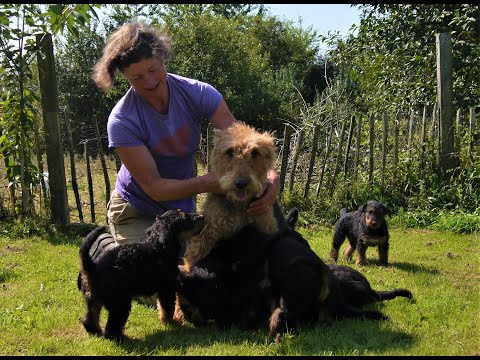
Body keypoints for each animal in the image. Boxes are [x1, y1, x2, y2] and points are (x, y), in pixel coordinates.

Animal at [76, 210, 202, 342]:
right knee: (111, 328)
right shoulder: (167, 289)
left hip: (92, 299)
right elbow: (167, 309)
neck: (158, 248)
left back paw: (95, 332)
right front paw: (172, 324)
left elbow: (163, 308)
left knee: (89, 319)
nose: (202, 217)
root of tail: (93, 266)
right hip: (120, 303)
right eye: (185, 219)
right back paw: (124, 339)